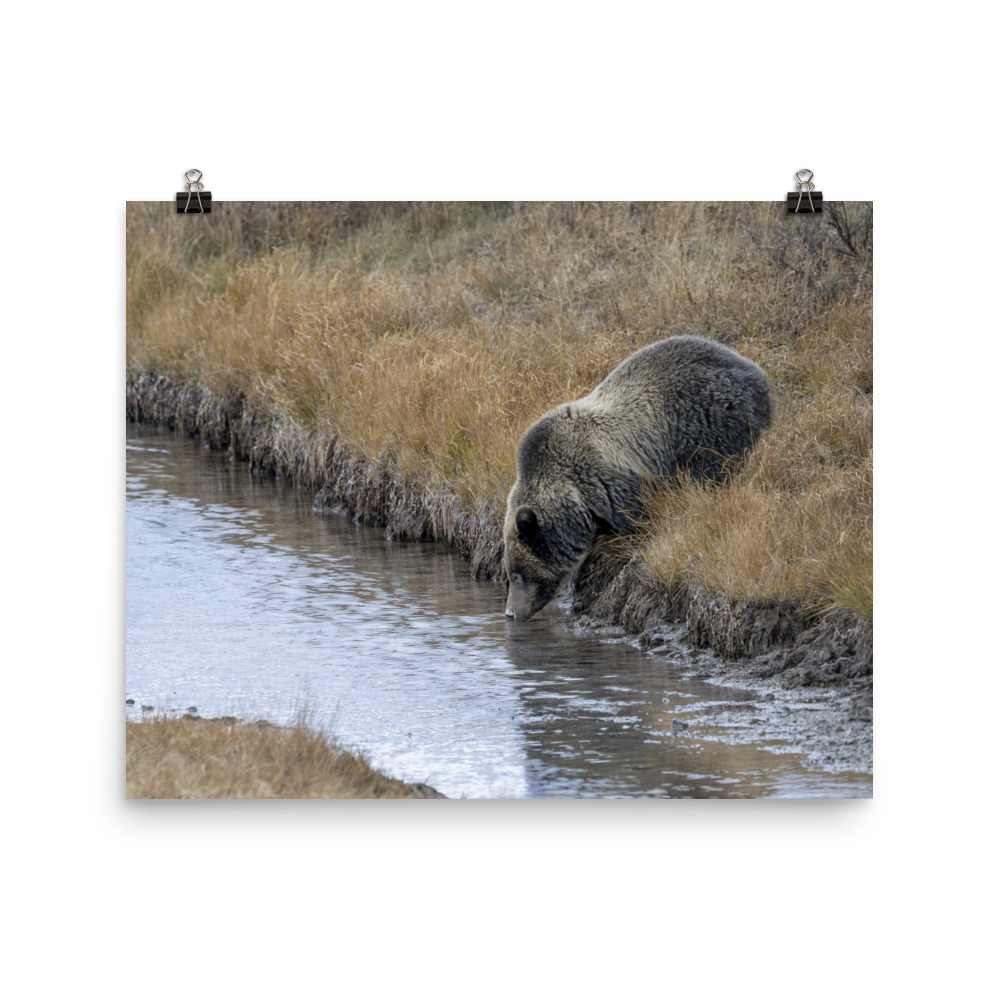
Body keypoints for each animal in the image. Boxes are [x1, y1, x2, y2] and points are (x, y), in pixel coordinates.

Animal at [503, 335, 773, 621]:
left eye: (517, 574)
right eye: (510, 573)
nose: (510, 612)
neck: (574, 494)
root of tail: (756, 372)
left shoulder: (610, 482)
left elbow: (637, 520)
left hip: (708, 421)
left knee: (712, 470)